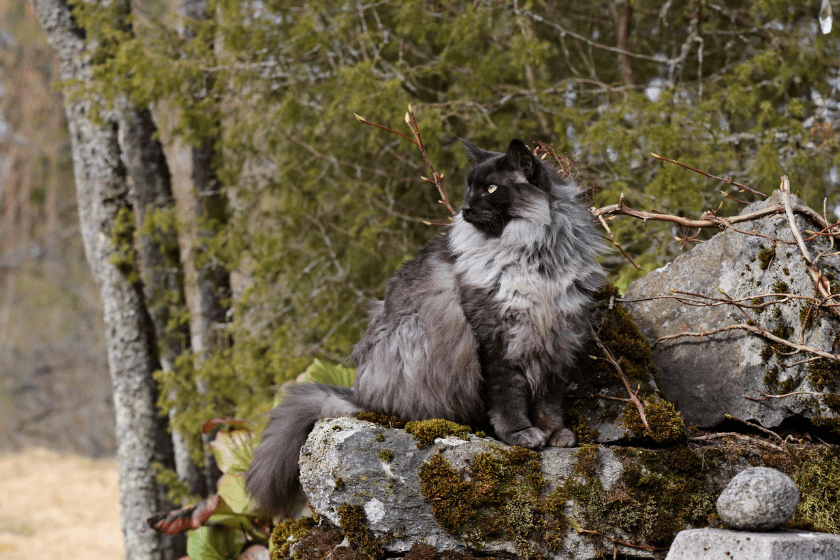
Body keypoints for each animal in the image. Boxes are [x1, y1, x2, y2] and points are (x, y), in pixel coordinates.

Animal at [243, 138, 604, 516]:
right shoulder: (498, 342)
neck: (535, 258)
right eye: (469, 188)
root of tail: (359, 395)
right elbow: (509, 399)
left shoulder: (556, 341)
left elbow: (549, 403)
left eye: (490, 189)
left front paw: (556, 435)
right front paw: (521, 435)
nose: (464, 209)